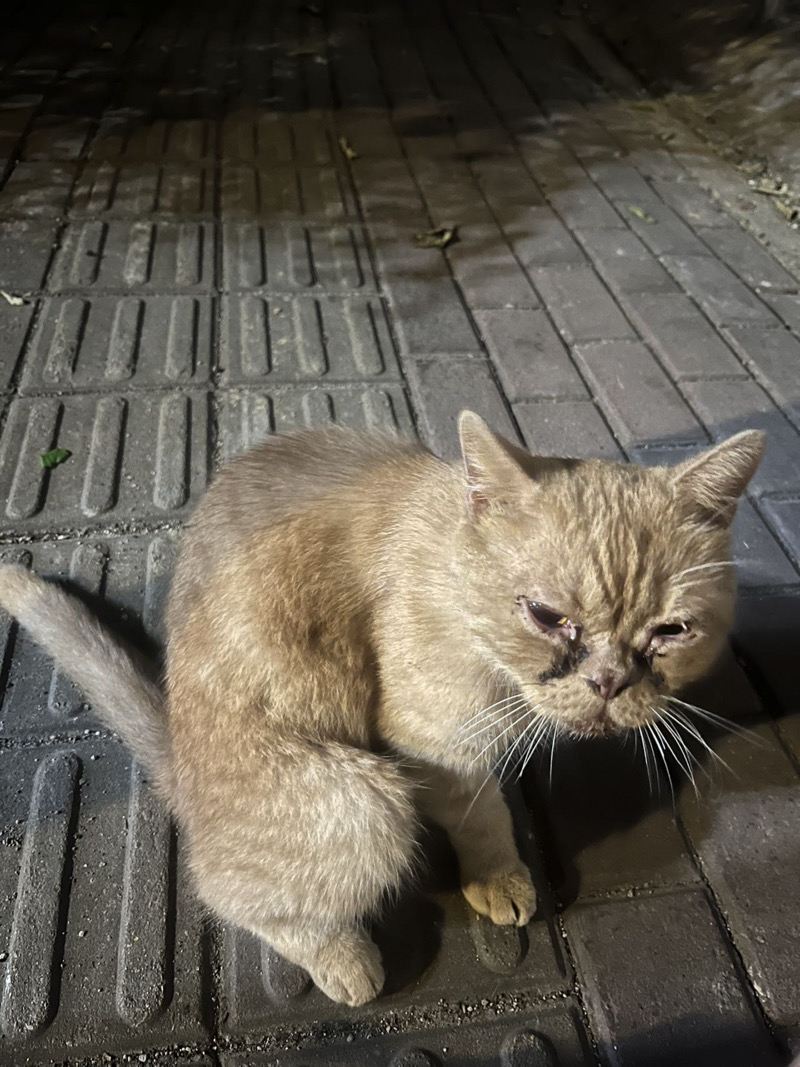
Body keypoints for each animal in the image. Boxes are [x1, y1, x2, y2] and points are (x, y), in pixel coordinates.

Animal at [0, 407, 763, 998]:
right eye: (547, 616)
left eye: (670, 631)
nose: (608, 683)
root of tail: (179, 764)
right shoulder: (434, 740)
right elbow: (482, 817)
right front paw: (500, 879)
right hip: (360, 801)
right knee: (226, 892)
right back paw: (346, 961)